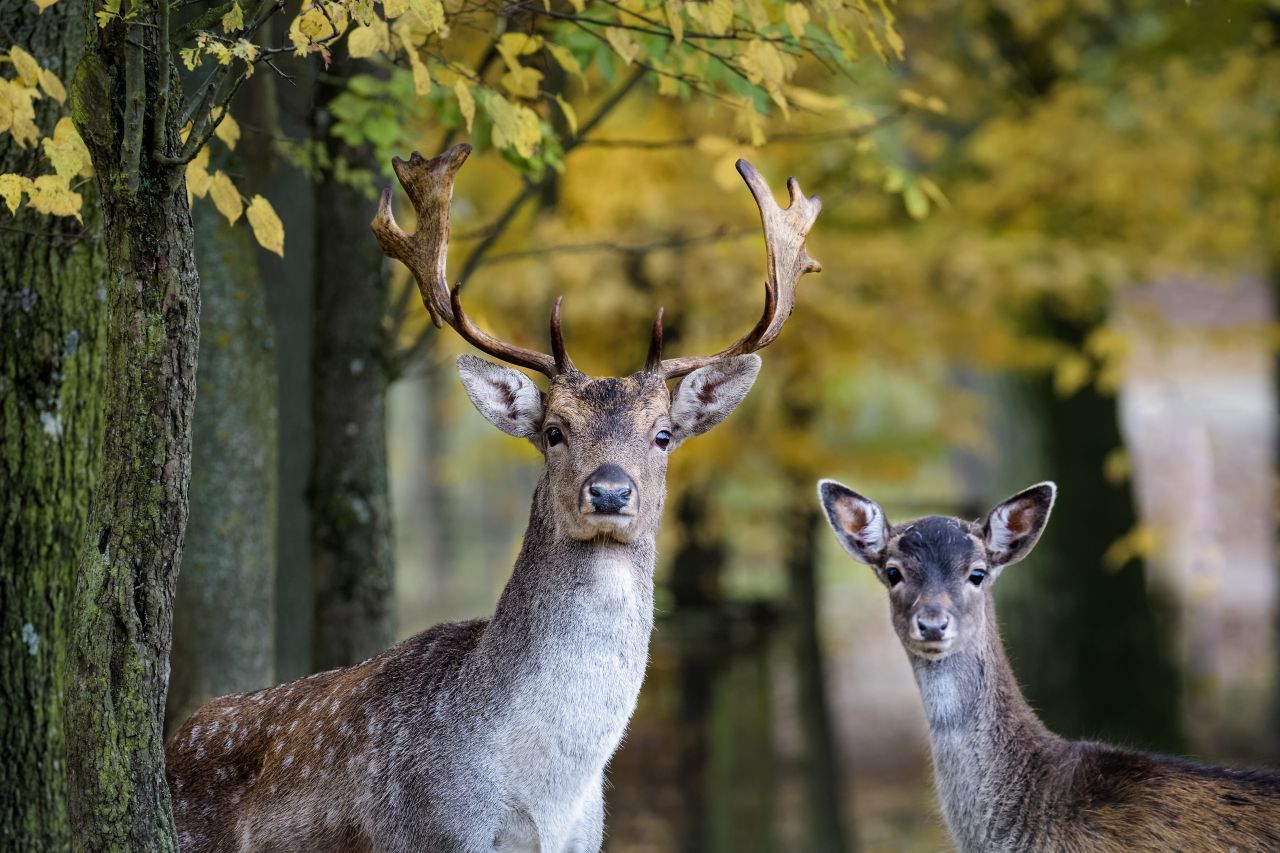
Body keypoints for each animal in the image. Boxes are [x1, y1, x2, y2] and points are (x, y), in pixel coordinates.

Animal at [165, 142, 824, 845]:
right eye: (554, 430)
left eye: (664, 434)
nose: (609, 492)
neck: (544, 801)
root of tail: (172, 738)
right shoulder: (425, 834)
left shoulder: (588, 840)